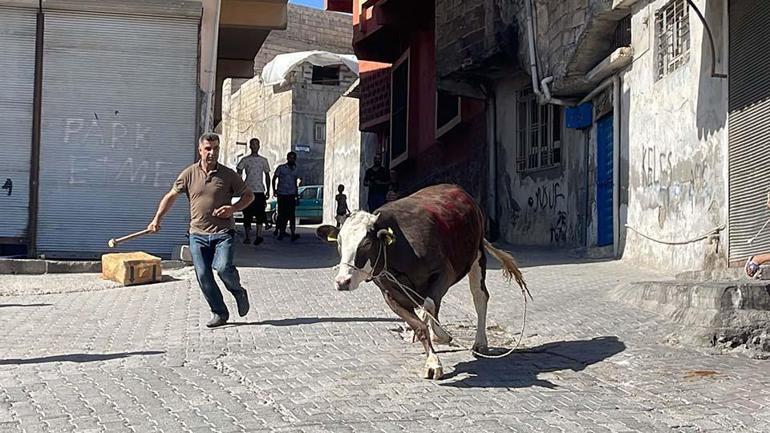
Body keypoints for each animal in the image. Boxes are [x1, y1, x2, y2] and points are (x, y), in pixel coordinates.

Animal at [314, 182, 528, 378]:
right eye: (339, 242)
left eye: (366, 243)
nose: (342, 281)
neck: (398, 252)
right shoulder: (390, 294)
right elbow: (419, 323)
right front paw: (432, 359)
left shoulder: (443, 273)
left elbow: (430, 307)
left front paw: (440, 337)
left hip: (477, 256)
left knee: (479, 297)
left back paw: (480, 342)